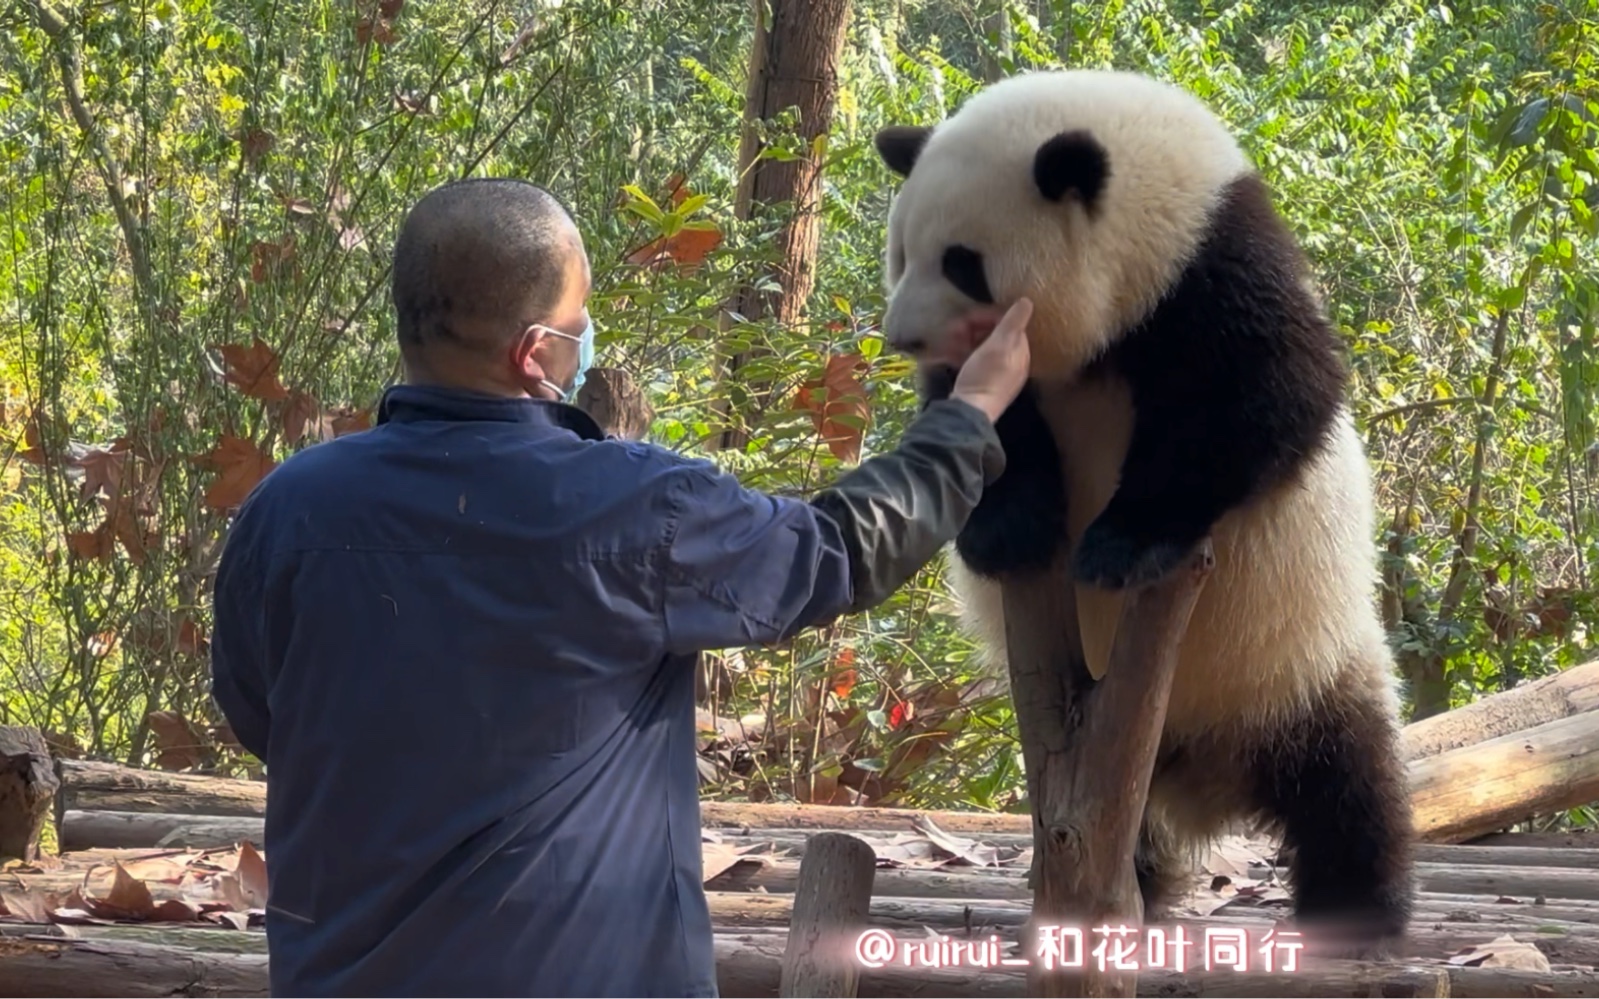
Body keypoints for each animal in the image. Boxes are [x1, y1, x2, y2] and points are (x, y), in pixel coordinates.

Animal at [882, 66, 1419, 952]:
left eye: (963, 263)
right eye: (901, 253)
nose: (901, 338)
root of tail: (1204, 776)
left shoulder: (1210, 271)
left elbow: (1263, 399)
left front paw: (1118, 546)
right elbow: (991, 425)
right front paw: (1013, 533)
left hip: (1299, 657)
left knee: (1346, 778)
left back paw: (1357, 906)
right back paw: (1136, 885)